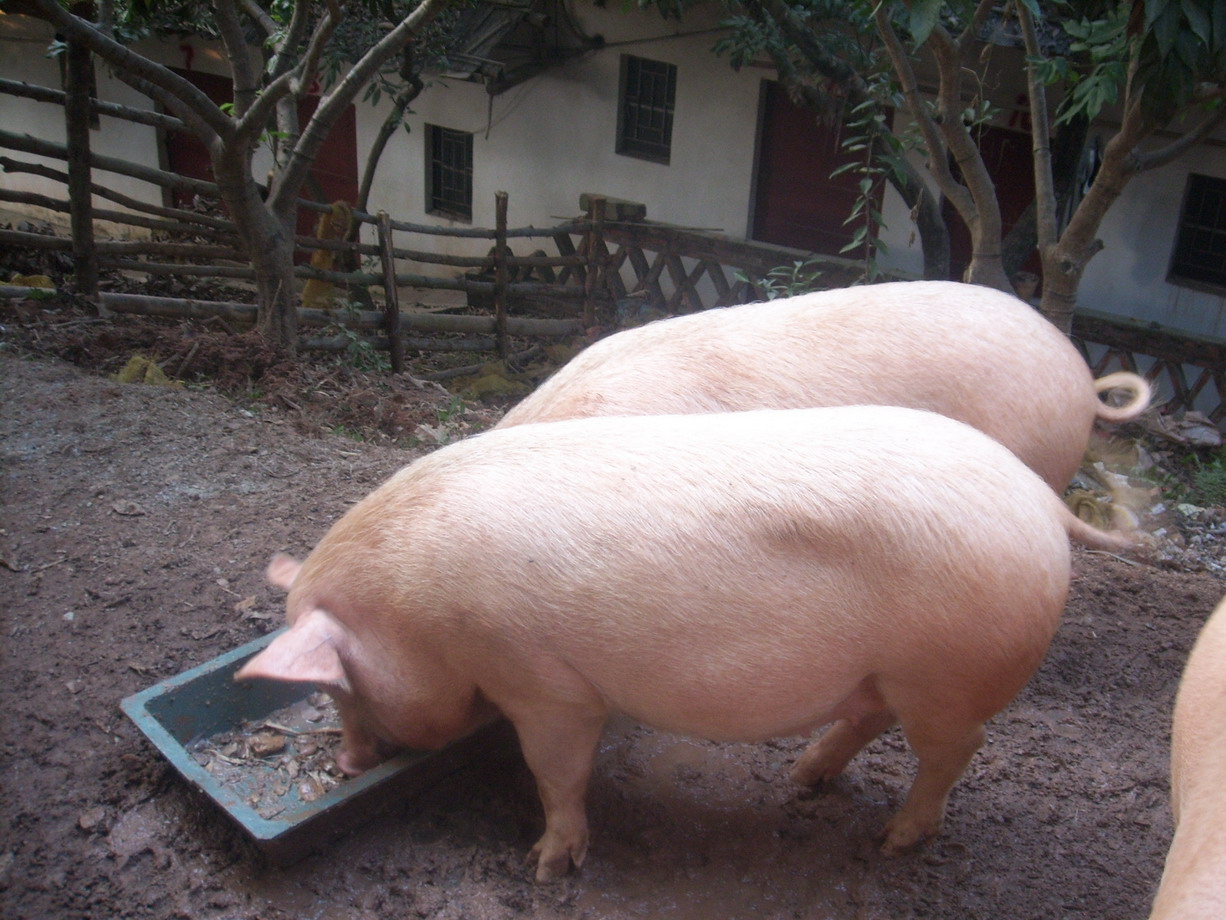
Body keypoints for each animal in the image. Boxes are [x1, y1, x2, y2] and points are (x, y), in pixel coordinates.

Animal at [236, 405, 1136, 881]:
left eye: (336, 684)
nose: (346, 763)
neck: (417, 613)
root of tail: (1041, 503)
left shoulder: (545, 684)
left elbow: (555, 773)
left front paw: (546, 865)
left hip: (945, 676)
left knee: (955, 752)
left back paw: (891, 841)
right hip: (888, 673)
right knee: (869, 720)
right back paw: (803, 778)